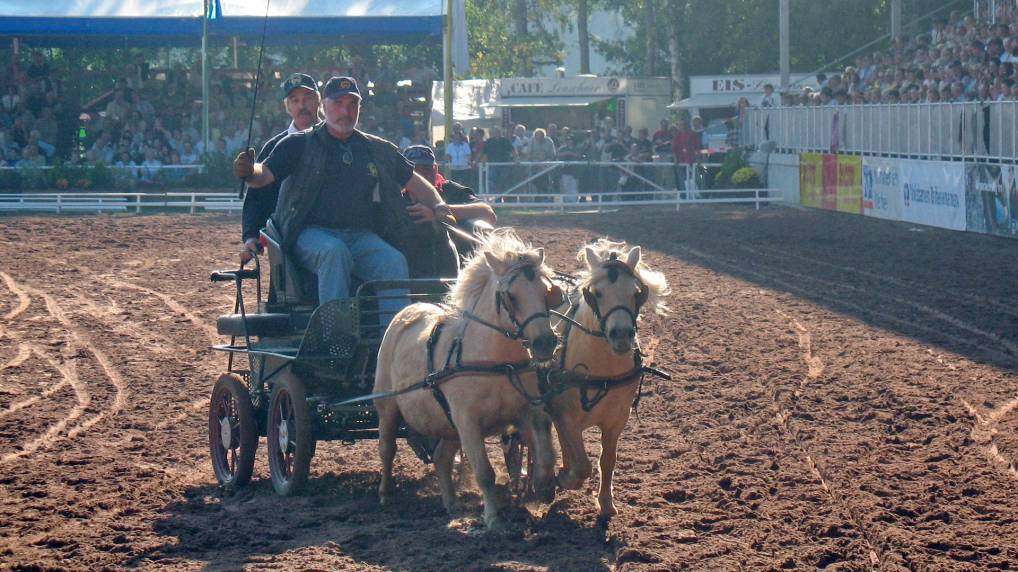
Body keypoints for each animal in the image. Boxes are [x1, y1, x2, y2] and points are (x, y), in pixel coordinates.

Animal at [376, 227, 566, 529]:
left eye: (547, 292)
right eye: (510, 296)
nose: (545, 343)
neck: (497, 364)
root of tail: (408, 310)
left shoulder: (526, 411)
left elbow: (545, 449)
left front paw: (543, 487)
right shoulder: (467, 421)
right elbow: (484, 472)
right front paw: (493, 518)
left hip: (448, 425)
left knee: (441, 457)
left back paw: (451, 503)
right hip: (388, 408)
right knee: (387, 448)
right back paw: (385, 493)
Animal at [545, 237, 671, 525]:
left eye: (636, 293)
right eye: (597, 293)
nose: (622, 335)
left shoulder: (617, 419)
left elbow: (608, 461)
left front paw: (606, 503)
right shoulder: (567, 413)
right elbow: (583, 464)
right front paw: (567, 478)